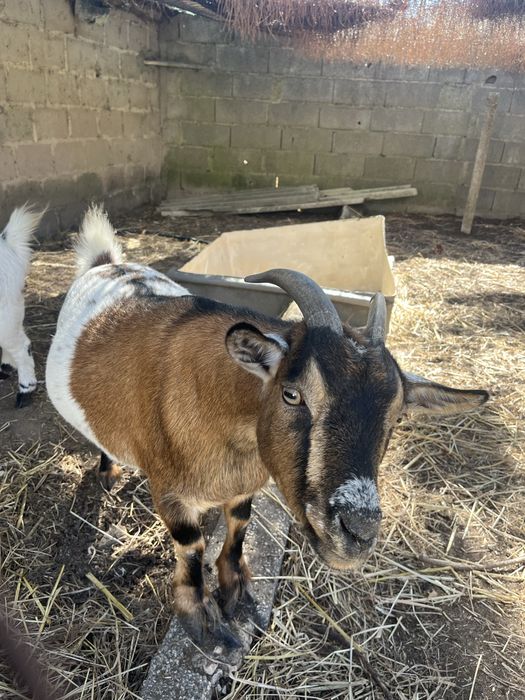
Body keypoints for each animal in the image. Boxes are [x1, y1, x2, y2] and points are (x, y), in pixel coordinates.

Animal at [46, 206, 488, 645]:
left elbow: (239, 524)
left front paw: (236, 588)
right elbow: (191, 546)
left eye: (396, 416)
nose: (357, 533)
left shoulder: (244, 486)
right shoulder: (169, 492)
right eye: (292, 394)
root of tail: (107, 263)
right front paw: (201, 618)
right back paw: (108, 472)